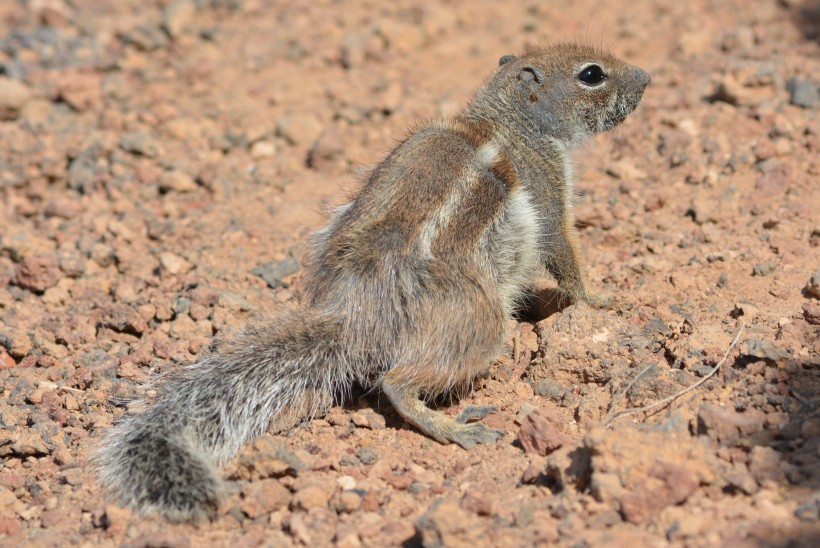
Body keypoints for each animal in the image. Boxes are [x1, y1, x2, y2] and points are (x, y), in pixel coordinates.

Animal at [96, 44, 652, 524]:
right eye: (591, 74)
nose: (647, 77)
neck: (507, 120)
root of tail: (357, 319)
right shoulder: (547, 186)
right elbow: (564, 249)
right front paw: (603, 297)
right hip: (480, 322)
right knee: (397, 382)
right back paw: (451, 428)